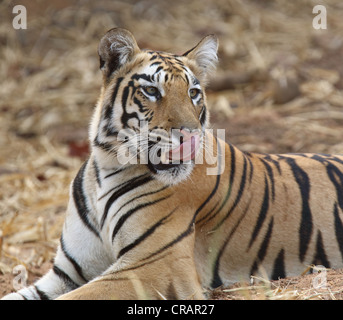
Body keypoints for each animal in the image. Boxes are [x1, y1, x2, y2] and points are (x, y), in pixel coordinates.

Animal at [2, 27, 343, 300]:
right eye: (152, 90)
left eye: (193, 93)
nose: (190, 136)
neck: (107, 167)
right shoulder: (69, 272)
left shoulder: (151, 266)